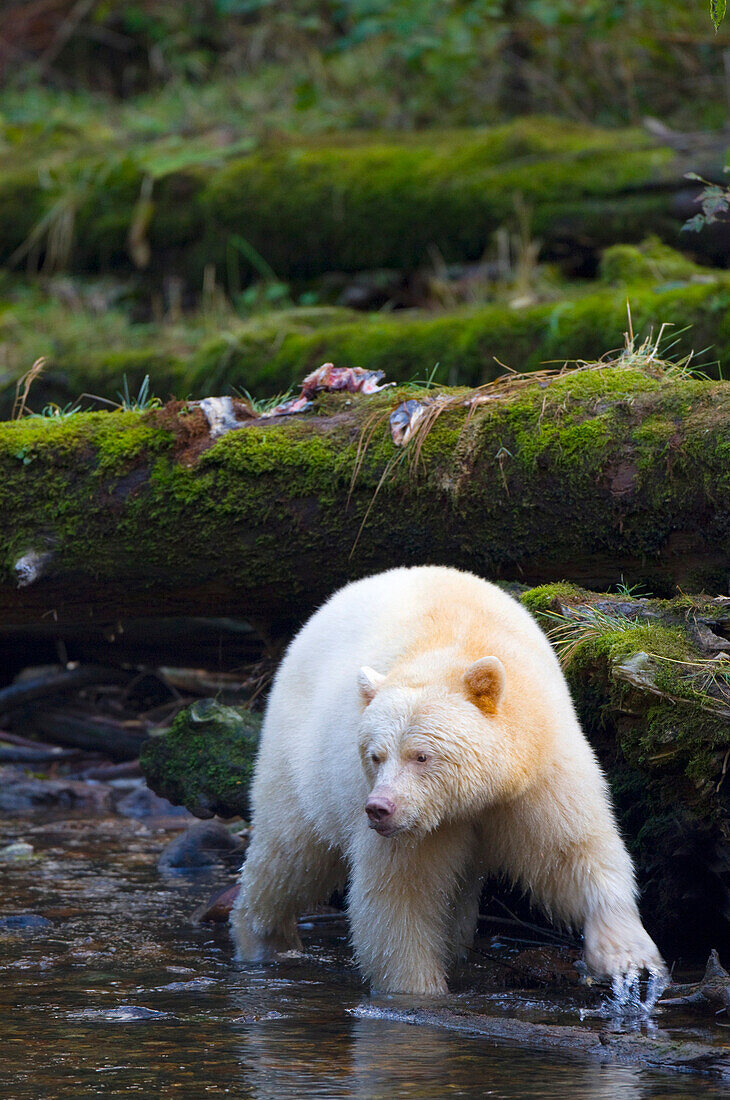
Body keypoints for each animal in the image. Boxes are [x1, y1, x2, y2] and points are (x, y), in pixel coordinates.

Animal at [230, 567, 664, 998]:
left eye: (421, 756)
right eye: (375, 755)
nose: (379, 808)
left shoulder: (539, 773)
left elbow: (571, 850)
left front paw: (628, 959)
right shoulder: (412, 829)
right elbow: (399, 899)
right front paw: (417, 991)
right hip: (298, 759)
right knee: (288, 855)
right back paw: (264, 939)